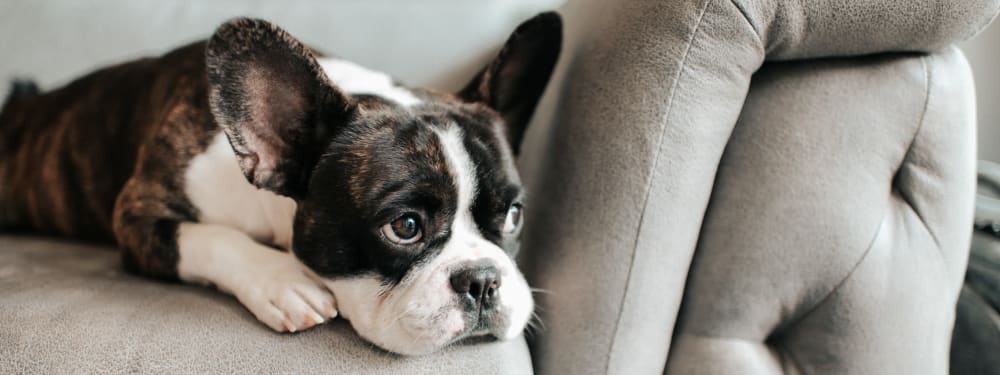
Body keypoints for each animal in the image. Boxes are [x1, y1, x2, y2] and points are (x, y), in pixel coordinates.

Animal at [0, 13, 564, 356]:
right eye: (405, 227)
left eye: (513, 215)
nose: (483, 279)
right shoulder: (138, 212)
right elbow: (211, 237)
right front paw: (281, 280)